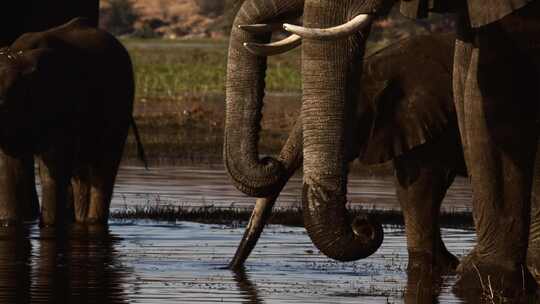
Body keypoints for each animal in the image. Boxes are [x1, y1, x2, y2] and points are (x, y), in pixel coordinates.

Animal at [0, 16, 146, 226]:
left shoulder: (62, 103)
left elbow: (53, 168)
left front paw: (50, 226)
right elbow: (10, 171)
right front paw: (9, 223)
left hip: (120, 101)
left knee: (104, 167)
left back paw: (93, 222)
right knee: (81, 172)